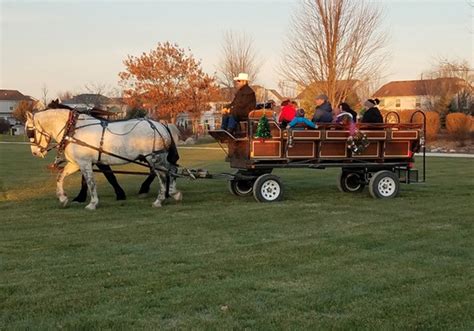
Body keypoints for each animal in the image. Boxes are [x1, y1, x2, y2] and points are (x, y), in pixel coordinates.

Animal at [26, 106, 181, 210]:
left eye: (30, 131)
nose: (35, 153)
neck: (73, 129)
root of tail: (161, 125)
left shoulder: (85, 163)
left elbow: (91, 182)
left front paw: (92, 203)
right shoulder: (76, 163)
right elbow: (60, 176)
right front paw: (63, 198)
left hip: (154, 158)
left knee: (163, 175)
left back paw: (160, 199)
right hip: (158, 158)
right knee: (172, 170)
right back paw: (173, 193)